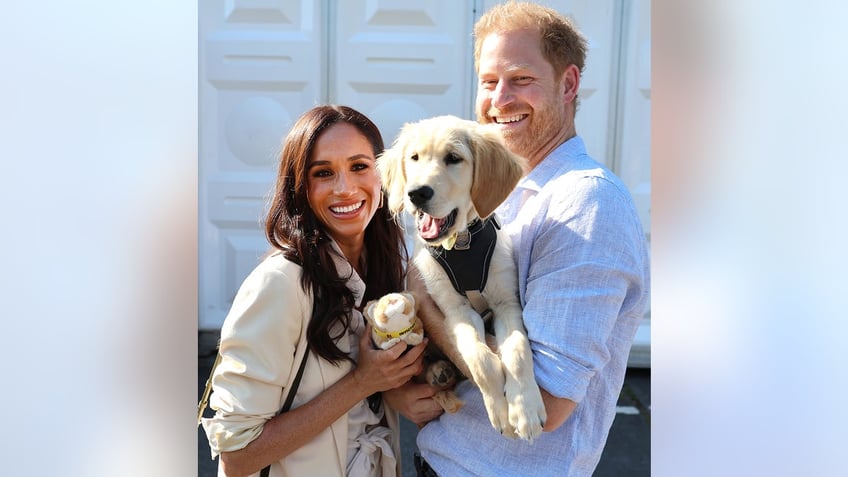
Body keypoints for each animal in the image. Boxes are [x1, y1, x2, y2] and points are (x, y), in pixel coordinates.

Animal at [376, 113, 548, 440]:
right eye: (414, 158)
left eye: (453, 158)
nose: (416, 193)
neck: (462, 245)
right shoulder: (455, 311)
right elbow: (481, 359)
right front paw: (501, 411)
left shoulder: (506, 304)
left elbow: (518, 352)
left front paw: (525, 408)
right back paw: (437, 371)